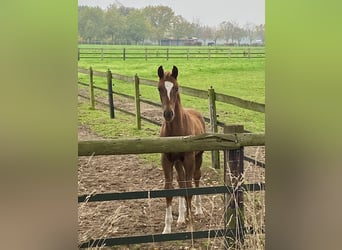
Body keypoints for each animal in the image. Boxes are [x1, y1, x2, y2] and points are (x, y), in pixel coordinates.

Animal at [158, 65, 206, 233]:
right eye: (159, 88)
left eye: (177, 88)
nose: (168, 114)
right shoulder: (166, 159)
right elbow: (169, 189)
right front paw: (167, 227)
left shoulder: (189, 159)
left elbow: (189, 188)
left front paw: (190, 225)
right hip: (178, 161)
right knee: (181, 181)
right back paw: (180, 217)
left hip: (198, 157)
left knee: (196, 178)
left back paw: (198, 210)